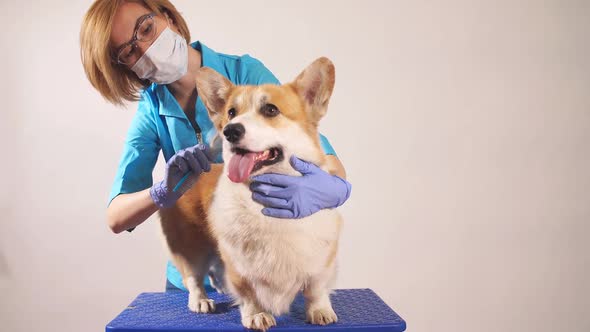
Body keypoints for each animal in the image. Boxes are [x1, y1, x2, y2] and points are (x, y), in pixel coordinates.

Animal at [160, 57, 344, 332]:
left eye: (270, 110)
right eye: (231, 113)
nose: (230, 131)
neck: (266, 200)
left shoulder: (321, 260)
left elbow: (316, 288)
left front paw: (320, 311)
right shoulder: (239, 265)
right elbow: (248, 292)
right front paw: (256, 315)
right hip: (191, 246)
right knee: (193, 275)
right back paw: (201, 300)